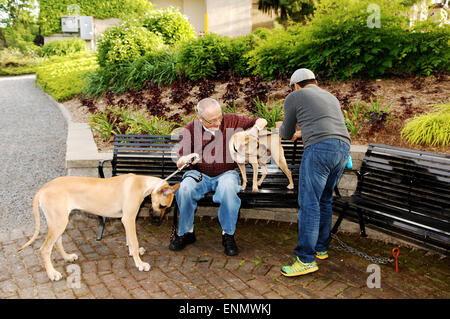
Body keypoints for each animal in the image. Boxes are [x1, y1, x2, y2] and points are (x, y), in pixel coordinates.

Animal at [18, 175, 179, 282]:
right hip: (58, 222)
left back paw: (67, 257)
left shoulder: (126, 220)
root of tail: (44, 188)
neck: (141, 183)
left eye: (166, 207)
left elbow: (130, 240)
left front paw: (133, 252)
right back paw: (52, 273)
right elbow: (134, 241)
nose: (157, 221)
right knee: (45, 249)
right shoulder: (128, 218)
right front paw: (140, 263)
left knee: (57, 243)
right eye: (163, 206)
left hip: (60, 221)